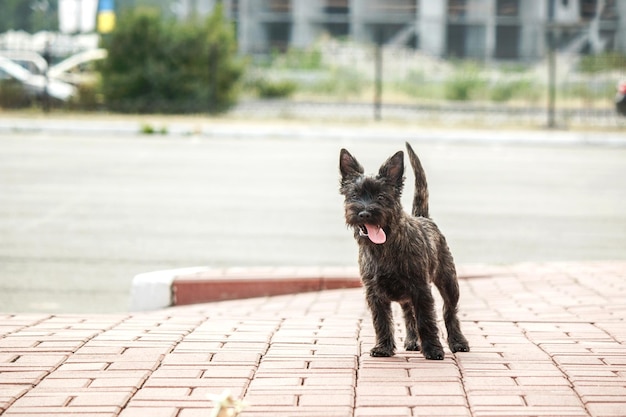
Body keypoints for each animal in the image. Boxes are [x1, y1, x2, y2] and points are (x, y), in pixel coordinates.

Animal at [338, 142, 466, 358]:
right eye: (354, 195)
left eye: (381, 196)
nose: (364, 213)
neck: (384, 248)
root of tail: (424, 217)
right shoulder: (374, 293)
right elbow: (381, 320)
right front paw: (383, 347)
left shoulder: (421, 289)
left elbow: (426, 320)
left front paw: (433, 349)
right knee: (408, 314)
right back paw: (412, 340)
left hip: (448, 282)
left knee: (449, 311)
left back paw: (458, 342)